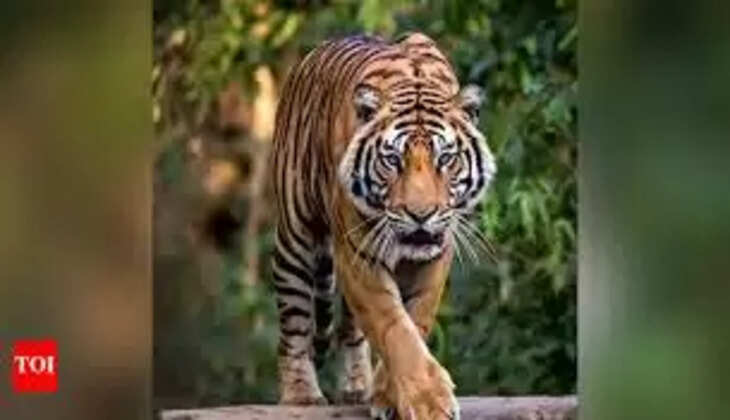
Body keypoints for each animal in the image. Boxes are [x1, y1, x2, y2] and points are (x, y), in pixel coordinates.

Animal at [269, 32, 496, 420]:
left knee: (351, 330)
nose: (421, 214)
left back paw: (357, 389)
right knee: (295, 323)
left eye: (445, 158)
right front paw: (429, 402)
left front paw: (389, 395)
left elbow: (415, 321)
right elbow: (393, 327)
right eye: (392, 159)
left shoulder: (435, 256)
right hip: (295, 241)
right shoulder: (359, 256)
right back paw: (302, 394)